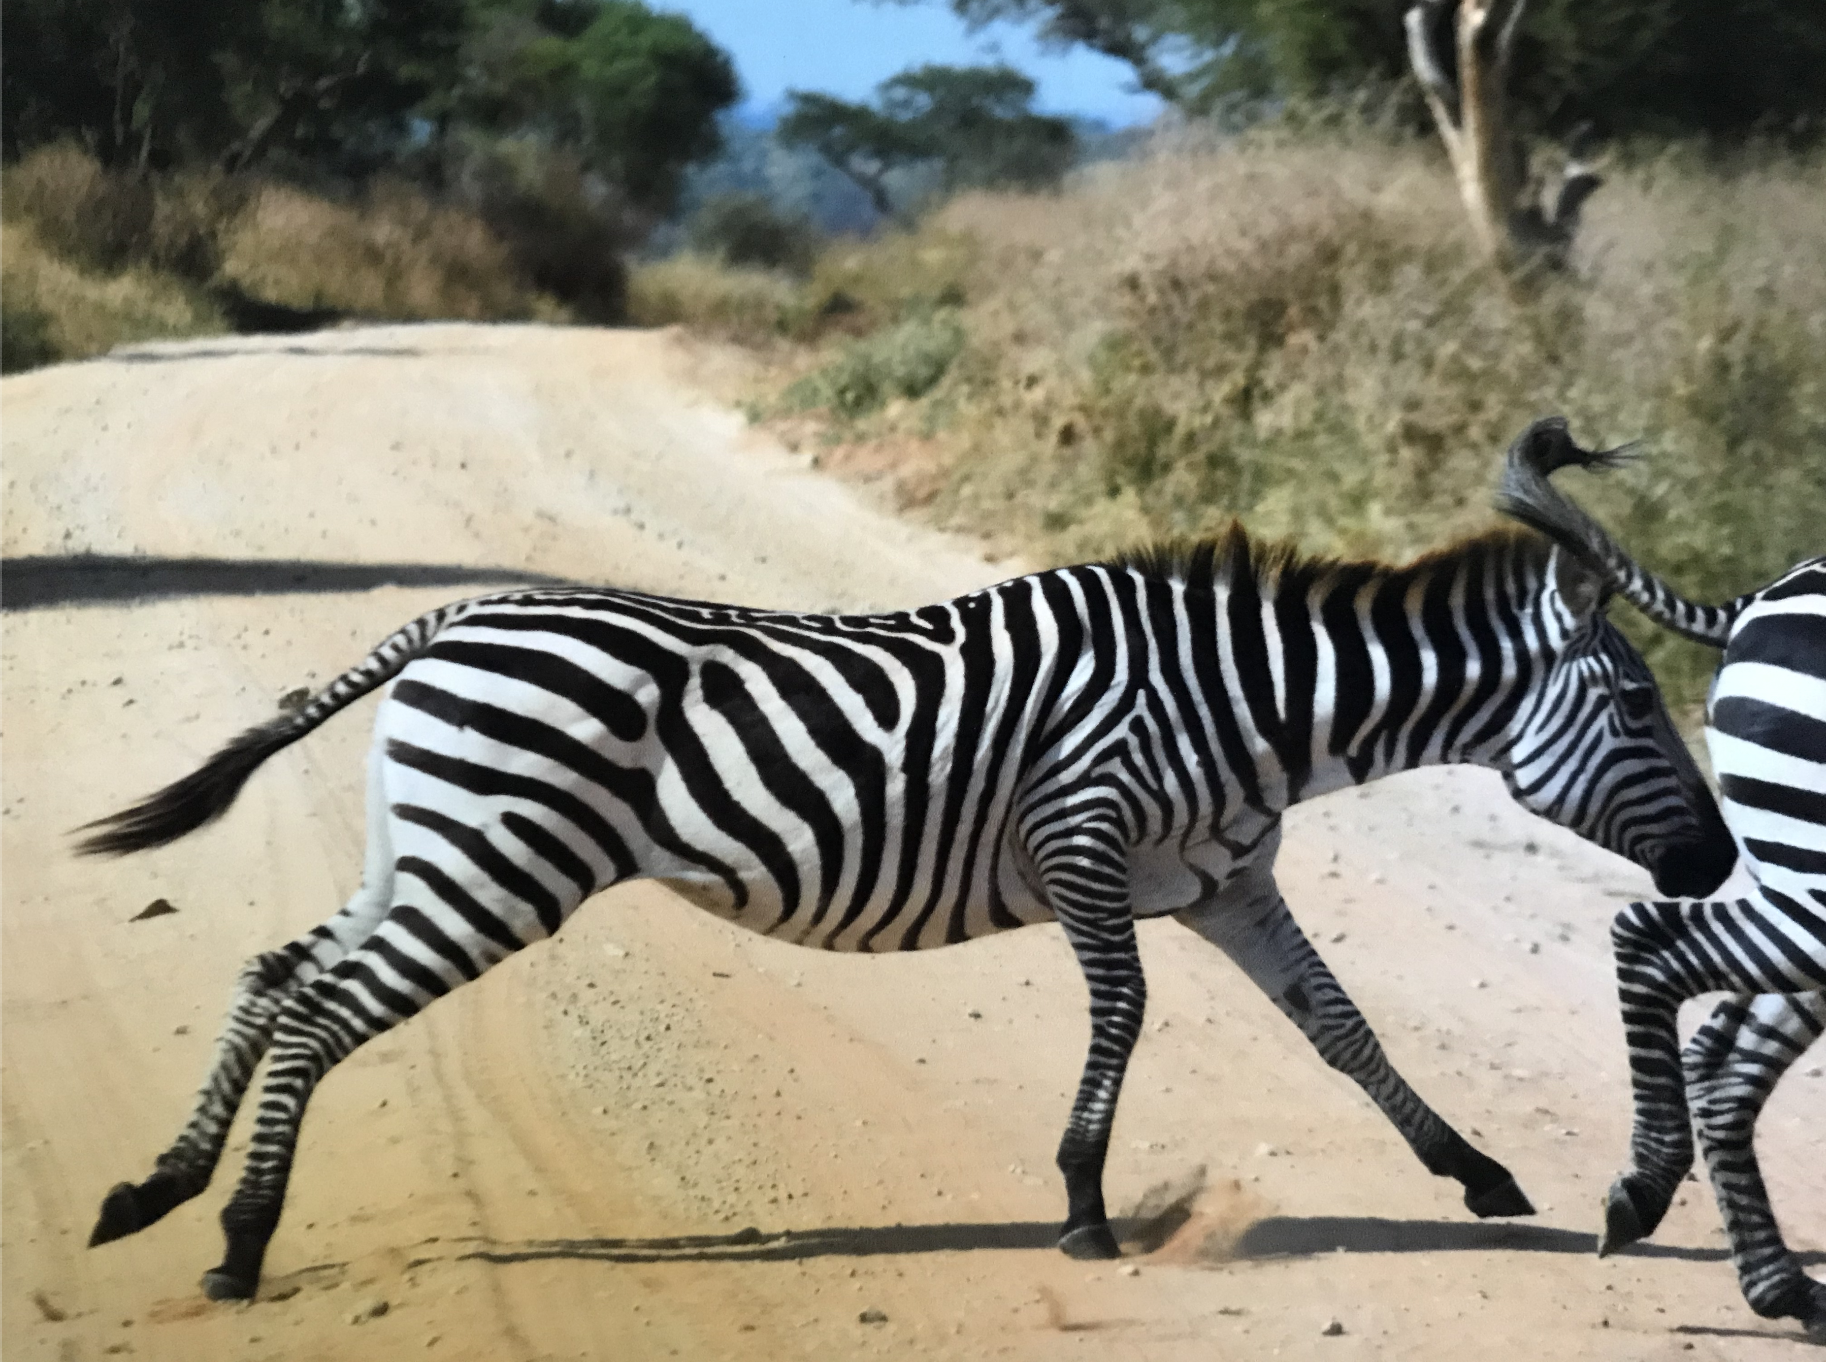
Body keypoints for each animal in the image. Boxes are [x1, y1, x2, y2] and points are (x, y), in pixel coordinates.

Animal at [80, 417, 1736, 1302]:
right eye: (1636, 703)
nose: (1718, 861)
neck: (1240, 707)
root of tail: (456, 619)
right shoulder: (1082, 841)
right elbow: (1122, 1015)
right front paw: (1082, 1203)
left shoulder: (1226, 882)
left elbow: (1340, 1023)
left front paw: (1475, 1169)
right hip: (499, 864)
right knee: (319, 1006)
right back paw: (236, 1241)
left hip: (429, 847)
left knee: (275, 966)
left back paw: (157, 1188)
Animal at [1495, 429, 1825, 1341]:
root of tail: (1765, 593)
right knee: (1648, 941)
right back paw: (1645, 1191)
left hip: (1799, 875)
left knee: (1721, 1060)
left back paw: (1779, 1285)